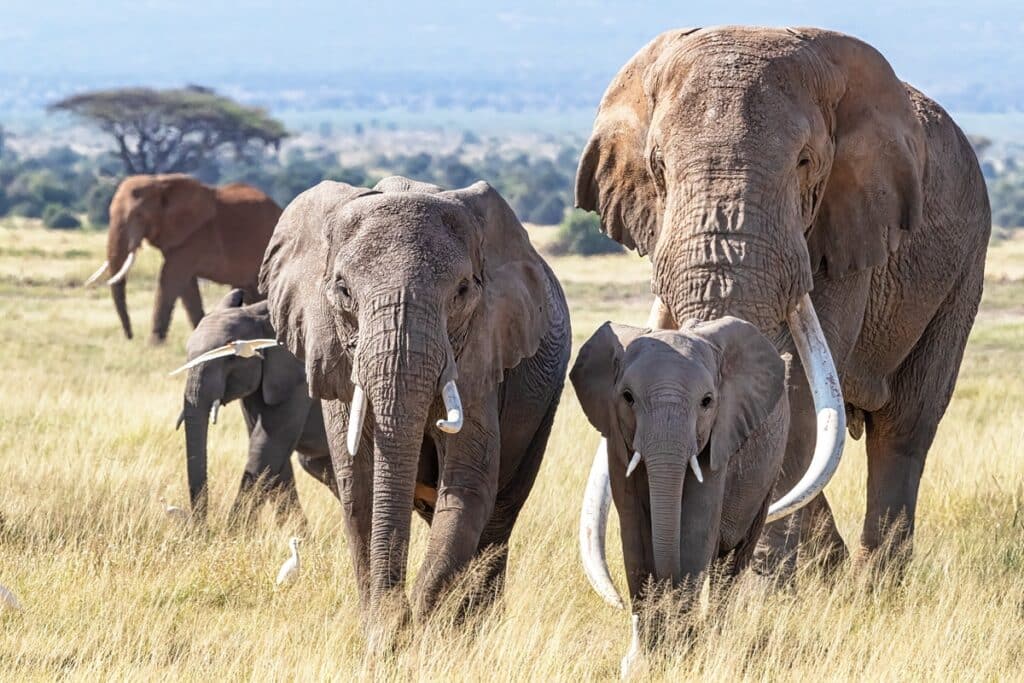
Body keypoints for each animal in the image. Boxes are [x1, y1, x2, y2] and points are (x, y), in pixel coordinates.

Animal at [84, 175, 282, 344]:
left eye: (139, 216)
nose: (130, 338)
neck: (159, 182)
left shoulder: (194, 237)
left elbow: (170, 279)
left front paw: (154, 344)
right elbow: (186, 287)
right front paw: (199, 330)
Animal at [260, 175, 573, 647]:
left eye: (462, 291)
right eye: (343, 290)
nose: (398, 625)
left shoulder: (483, 351)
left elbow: (468, 484)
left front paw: (417, 628)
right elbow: (359, 487)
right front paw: (384, 630)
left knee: (500, 516)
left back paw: (475, 628)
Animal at [573, 321, 786, 618]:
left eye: (707, 401)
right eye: (628, 398)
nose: (667, 591)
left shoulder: (718, 437)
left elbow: (695, 531)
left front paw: (679, 627)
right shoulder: (616, 441)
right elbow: (634, 533)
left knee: (733, 561)